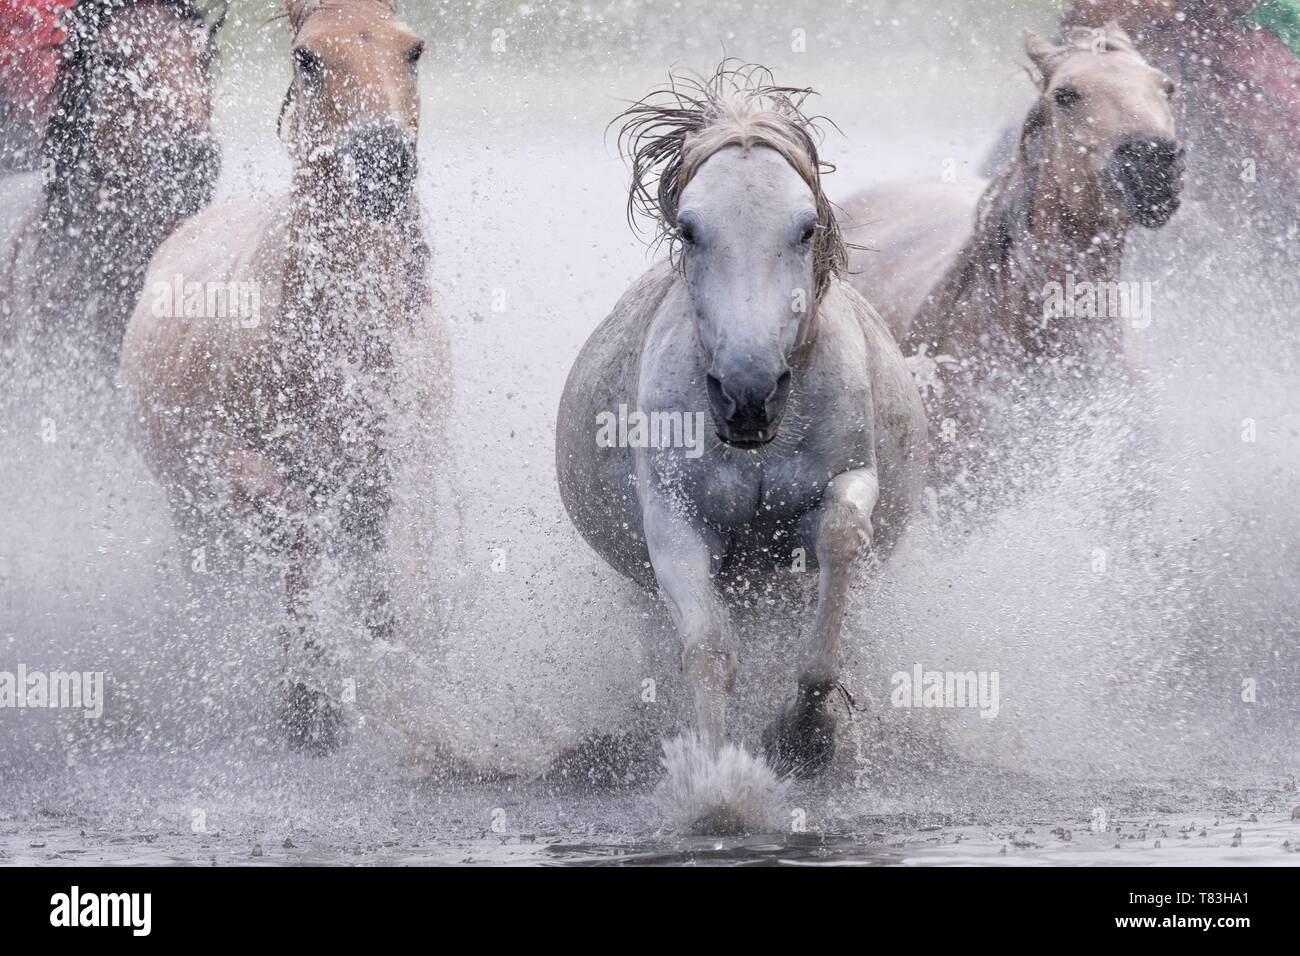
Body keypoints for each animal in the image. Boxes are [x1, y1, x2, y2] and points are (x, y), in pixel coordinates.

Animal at [122, 0, 447, 754]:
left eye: (414, 49)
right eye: (308, 57)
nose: (382, 162)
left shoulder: (375, 466)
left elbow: (368, 552)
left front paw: (384, 642)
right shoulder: (227, 464)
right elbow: (297, 537)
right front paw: (309, 703)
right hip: (186, 499)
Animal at [553, 65, 930, 780]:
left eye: (805, 228)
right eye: (689, 229)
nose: (747, 393)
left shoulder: (847, 484)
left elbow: (839, 540)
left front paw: (807, 733)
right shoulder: (675, 523)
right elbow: (706, 649)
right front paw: (714, 779)